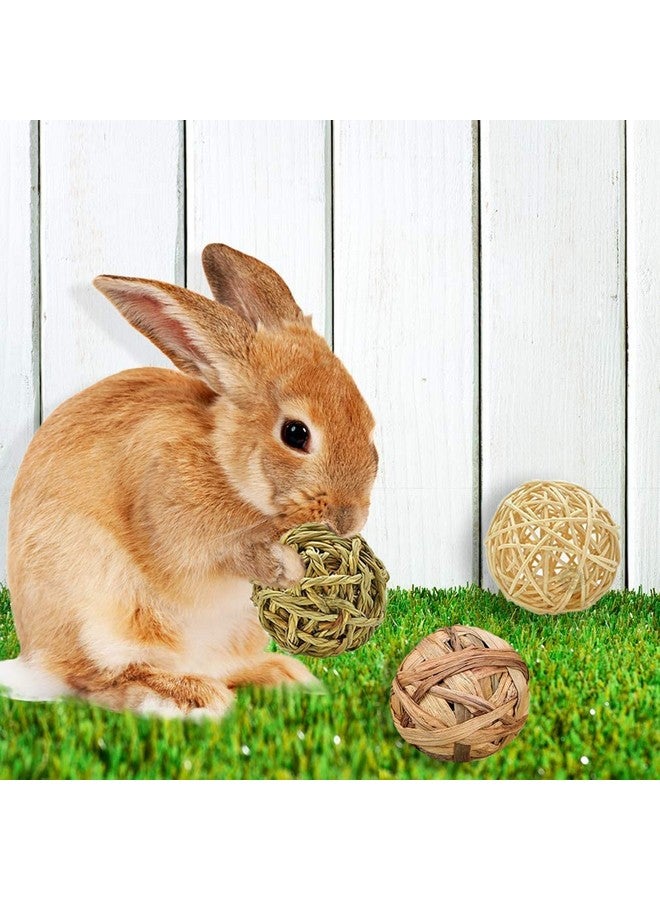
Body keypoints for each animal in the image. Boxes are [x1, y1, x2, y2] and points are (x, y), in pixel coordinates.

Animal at [1, 244, 378, 718]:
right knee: (96, 681)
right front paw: (286, 567)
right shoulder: (174, 523)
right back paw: (188, 696)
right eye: (296, 433)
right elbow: (219, 555)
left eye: (368, 420)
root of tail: (33, 657)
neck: (226, 465)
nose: (350, 520)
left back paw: (285, 677)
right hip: (94, 612)